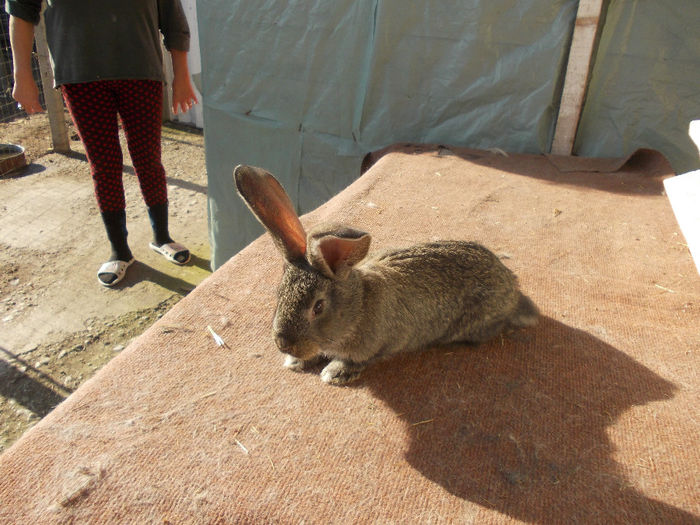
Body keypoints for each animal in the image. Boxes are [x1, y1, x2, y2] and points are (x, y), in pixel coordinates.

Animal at [232, 164, 540, 384]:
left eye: (318, 307)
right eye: (278, 295)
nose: (283, 344)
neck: (358, 307)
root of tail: (512, 292)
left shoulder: (380, 345)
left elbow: (359, 361)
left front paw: (334, 373)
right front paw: (296, 362)